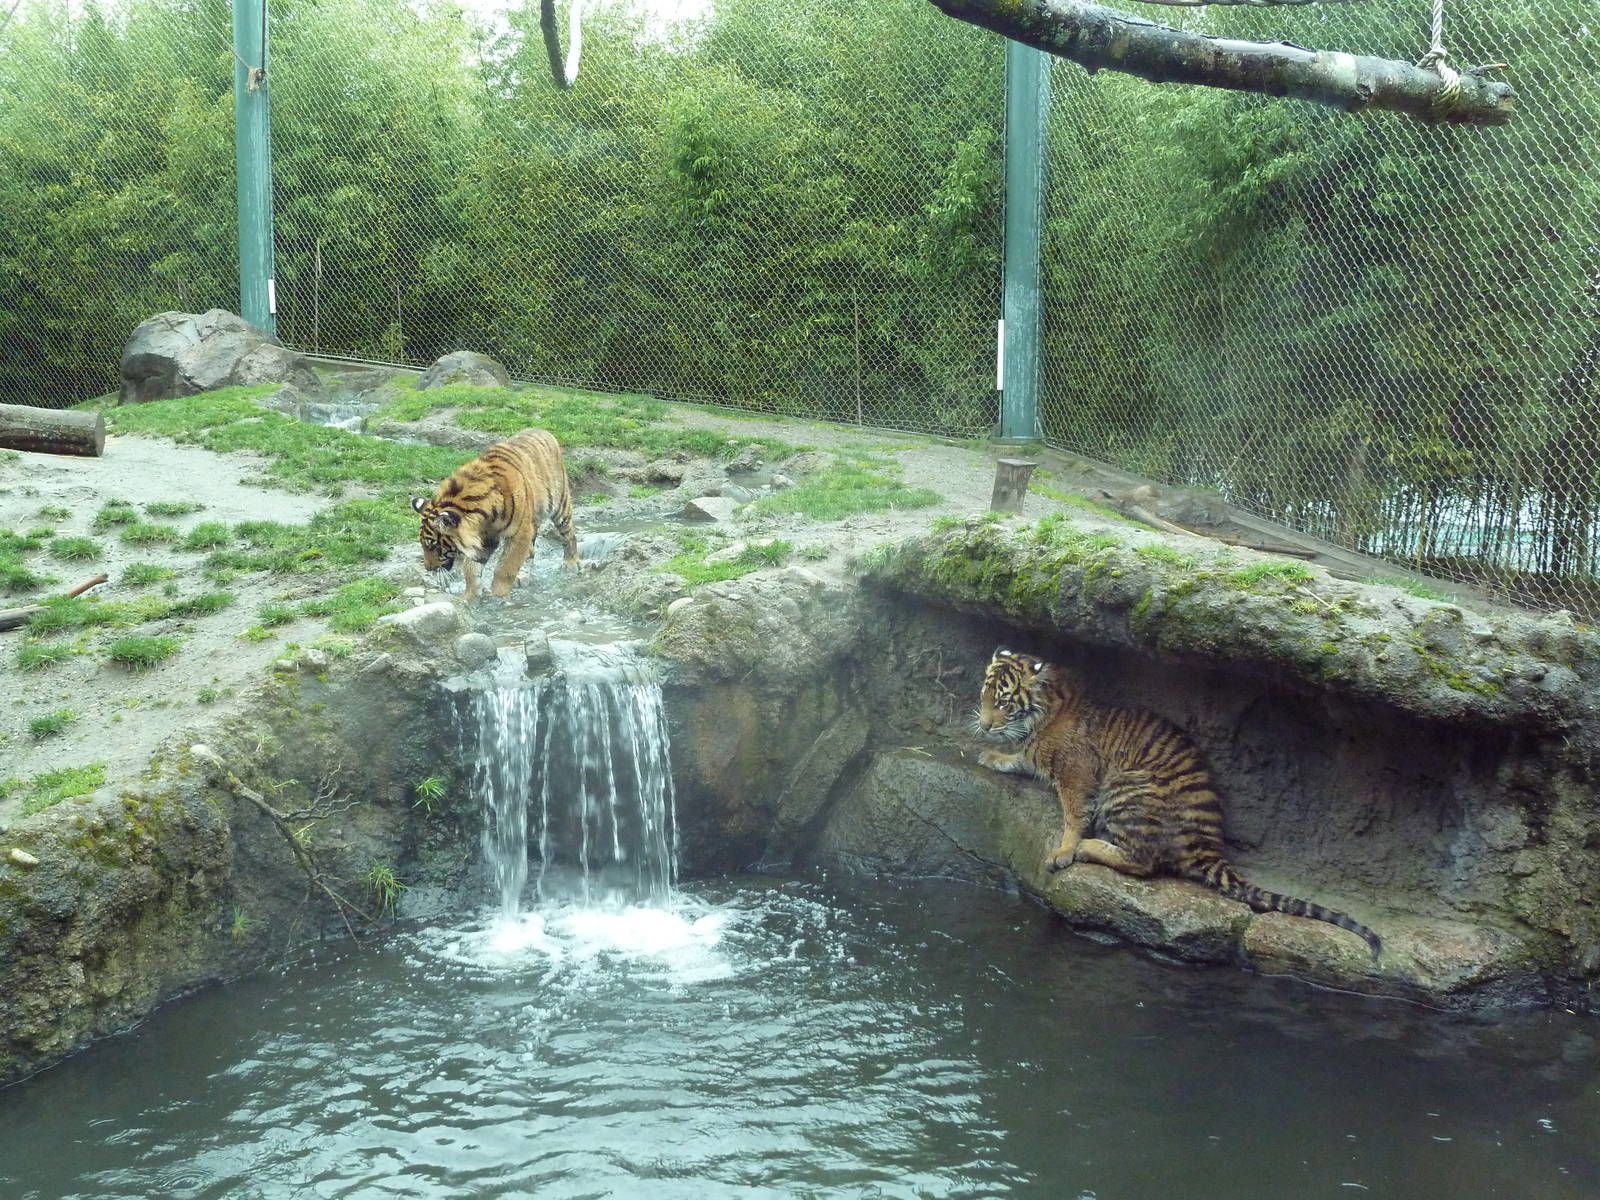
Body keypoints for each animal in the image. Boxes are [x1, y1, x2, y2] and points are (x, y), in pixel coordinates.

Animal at [411, 428, 580, 601]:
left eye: (433, 545)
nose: (428, 568)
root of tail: (541, 429)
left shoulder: (519, 533)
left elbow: (505, 568)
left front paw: (499, 597)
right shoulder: (484, 539)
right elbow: (471, 569)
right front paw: (470, 598)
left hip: (560, 504)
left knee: (569, 535)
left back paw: (571, 563)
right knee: (531, 552)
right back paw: (523, 576)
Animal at [975, 647, 1381, 956]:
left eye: (1004, 702)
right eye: (984, 696)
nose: (983, 725)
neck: (1045, 712)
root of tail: (1210, 840)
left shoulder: (1077, 775)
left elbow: (1074, 815)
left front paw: (1063, 851)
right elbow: (1018, 757)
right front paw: (990, 755)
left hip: (1125, 785)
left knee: (1144, 862)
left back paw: (1088, 847)